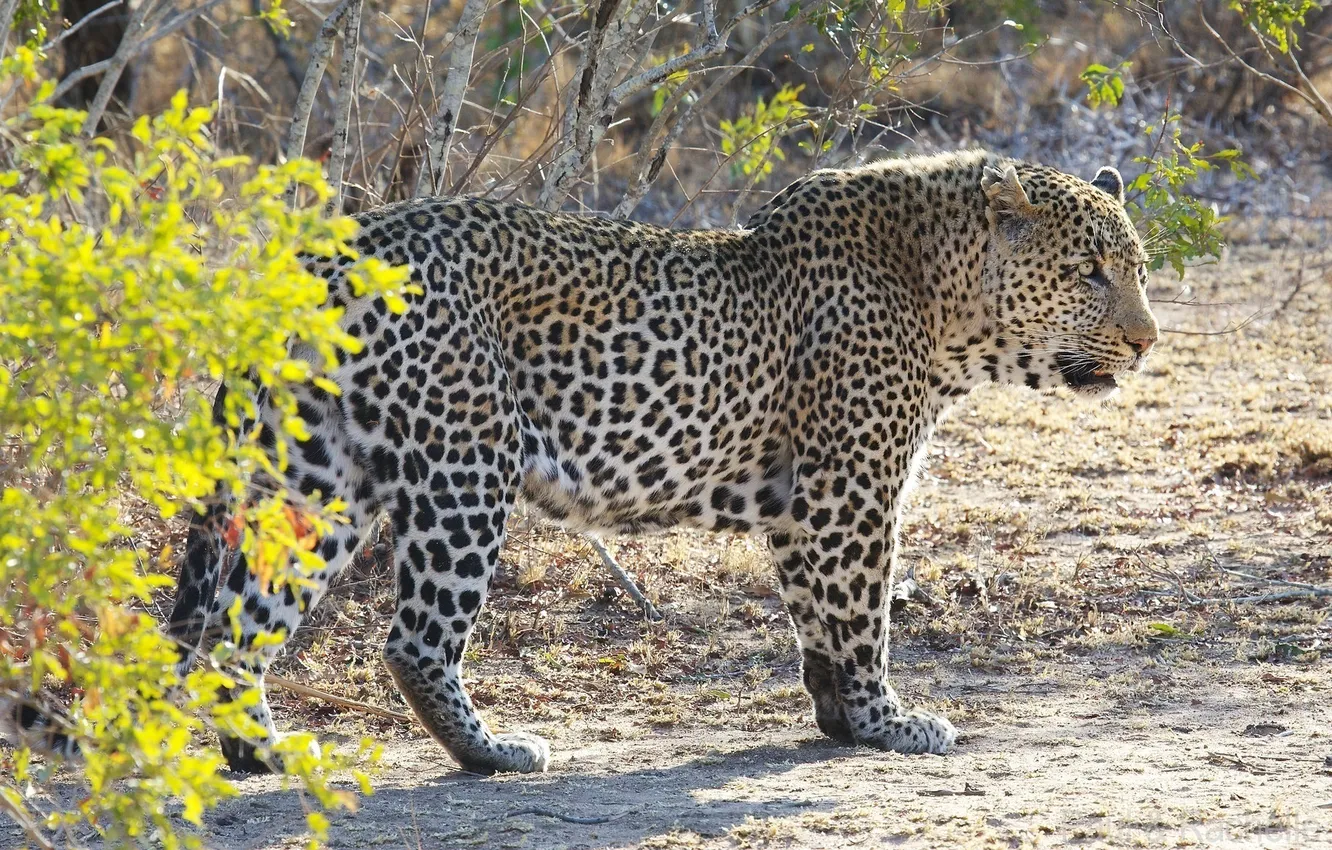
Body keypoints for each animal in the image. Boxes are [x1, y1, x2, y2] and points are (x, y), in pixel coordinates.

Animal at [3, 150, 1159, 776]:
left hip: (315, 480)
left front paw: (839, 720)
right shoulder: (850, 488)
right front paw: (888, 723)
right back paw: (492, 753)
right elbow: (860, 611)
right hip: (466, 462)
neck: (946, 299)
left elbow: (818, 620)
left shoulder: (807, 502)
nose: (1149, 342)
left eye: (1137, 268)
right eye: (1090, 274)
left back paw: (262, 755)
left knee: (230, 631)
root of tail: (317, 254)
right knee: (410, 639)